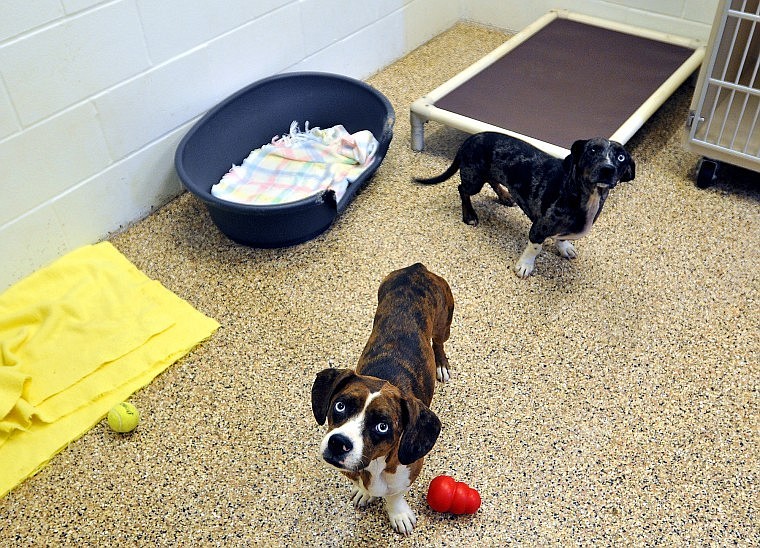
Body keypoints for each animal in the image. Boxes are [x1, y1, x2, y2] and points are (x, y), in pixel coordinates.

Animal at [312, 264, 454, 532]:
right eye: (340, 405)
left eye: (382, 426)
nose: (338, 443)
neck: (373, 465)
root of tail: (417, 268)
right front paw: (364, 493)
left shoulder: (410, 470)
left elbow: (395, 494)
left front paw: (398, 513)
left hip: (444, 322)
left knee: (439, 343)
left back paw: (441, 364)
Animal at [416, 133, 636, 278]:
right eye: (592, 150)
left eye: (621, 157)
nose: (607, 169)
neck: (583, 193)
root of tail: (471, 138)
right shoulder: (539, 228)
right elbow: (535, 248)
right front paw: (525, 265)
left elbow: (562, 238)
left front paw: (564, 247)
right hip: (473, 180)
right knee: (462, 189)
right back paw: (469, 215)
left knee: (492, 180)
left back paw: (505, 196)